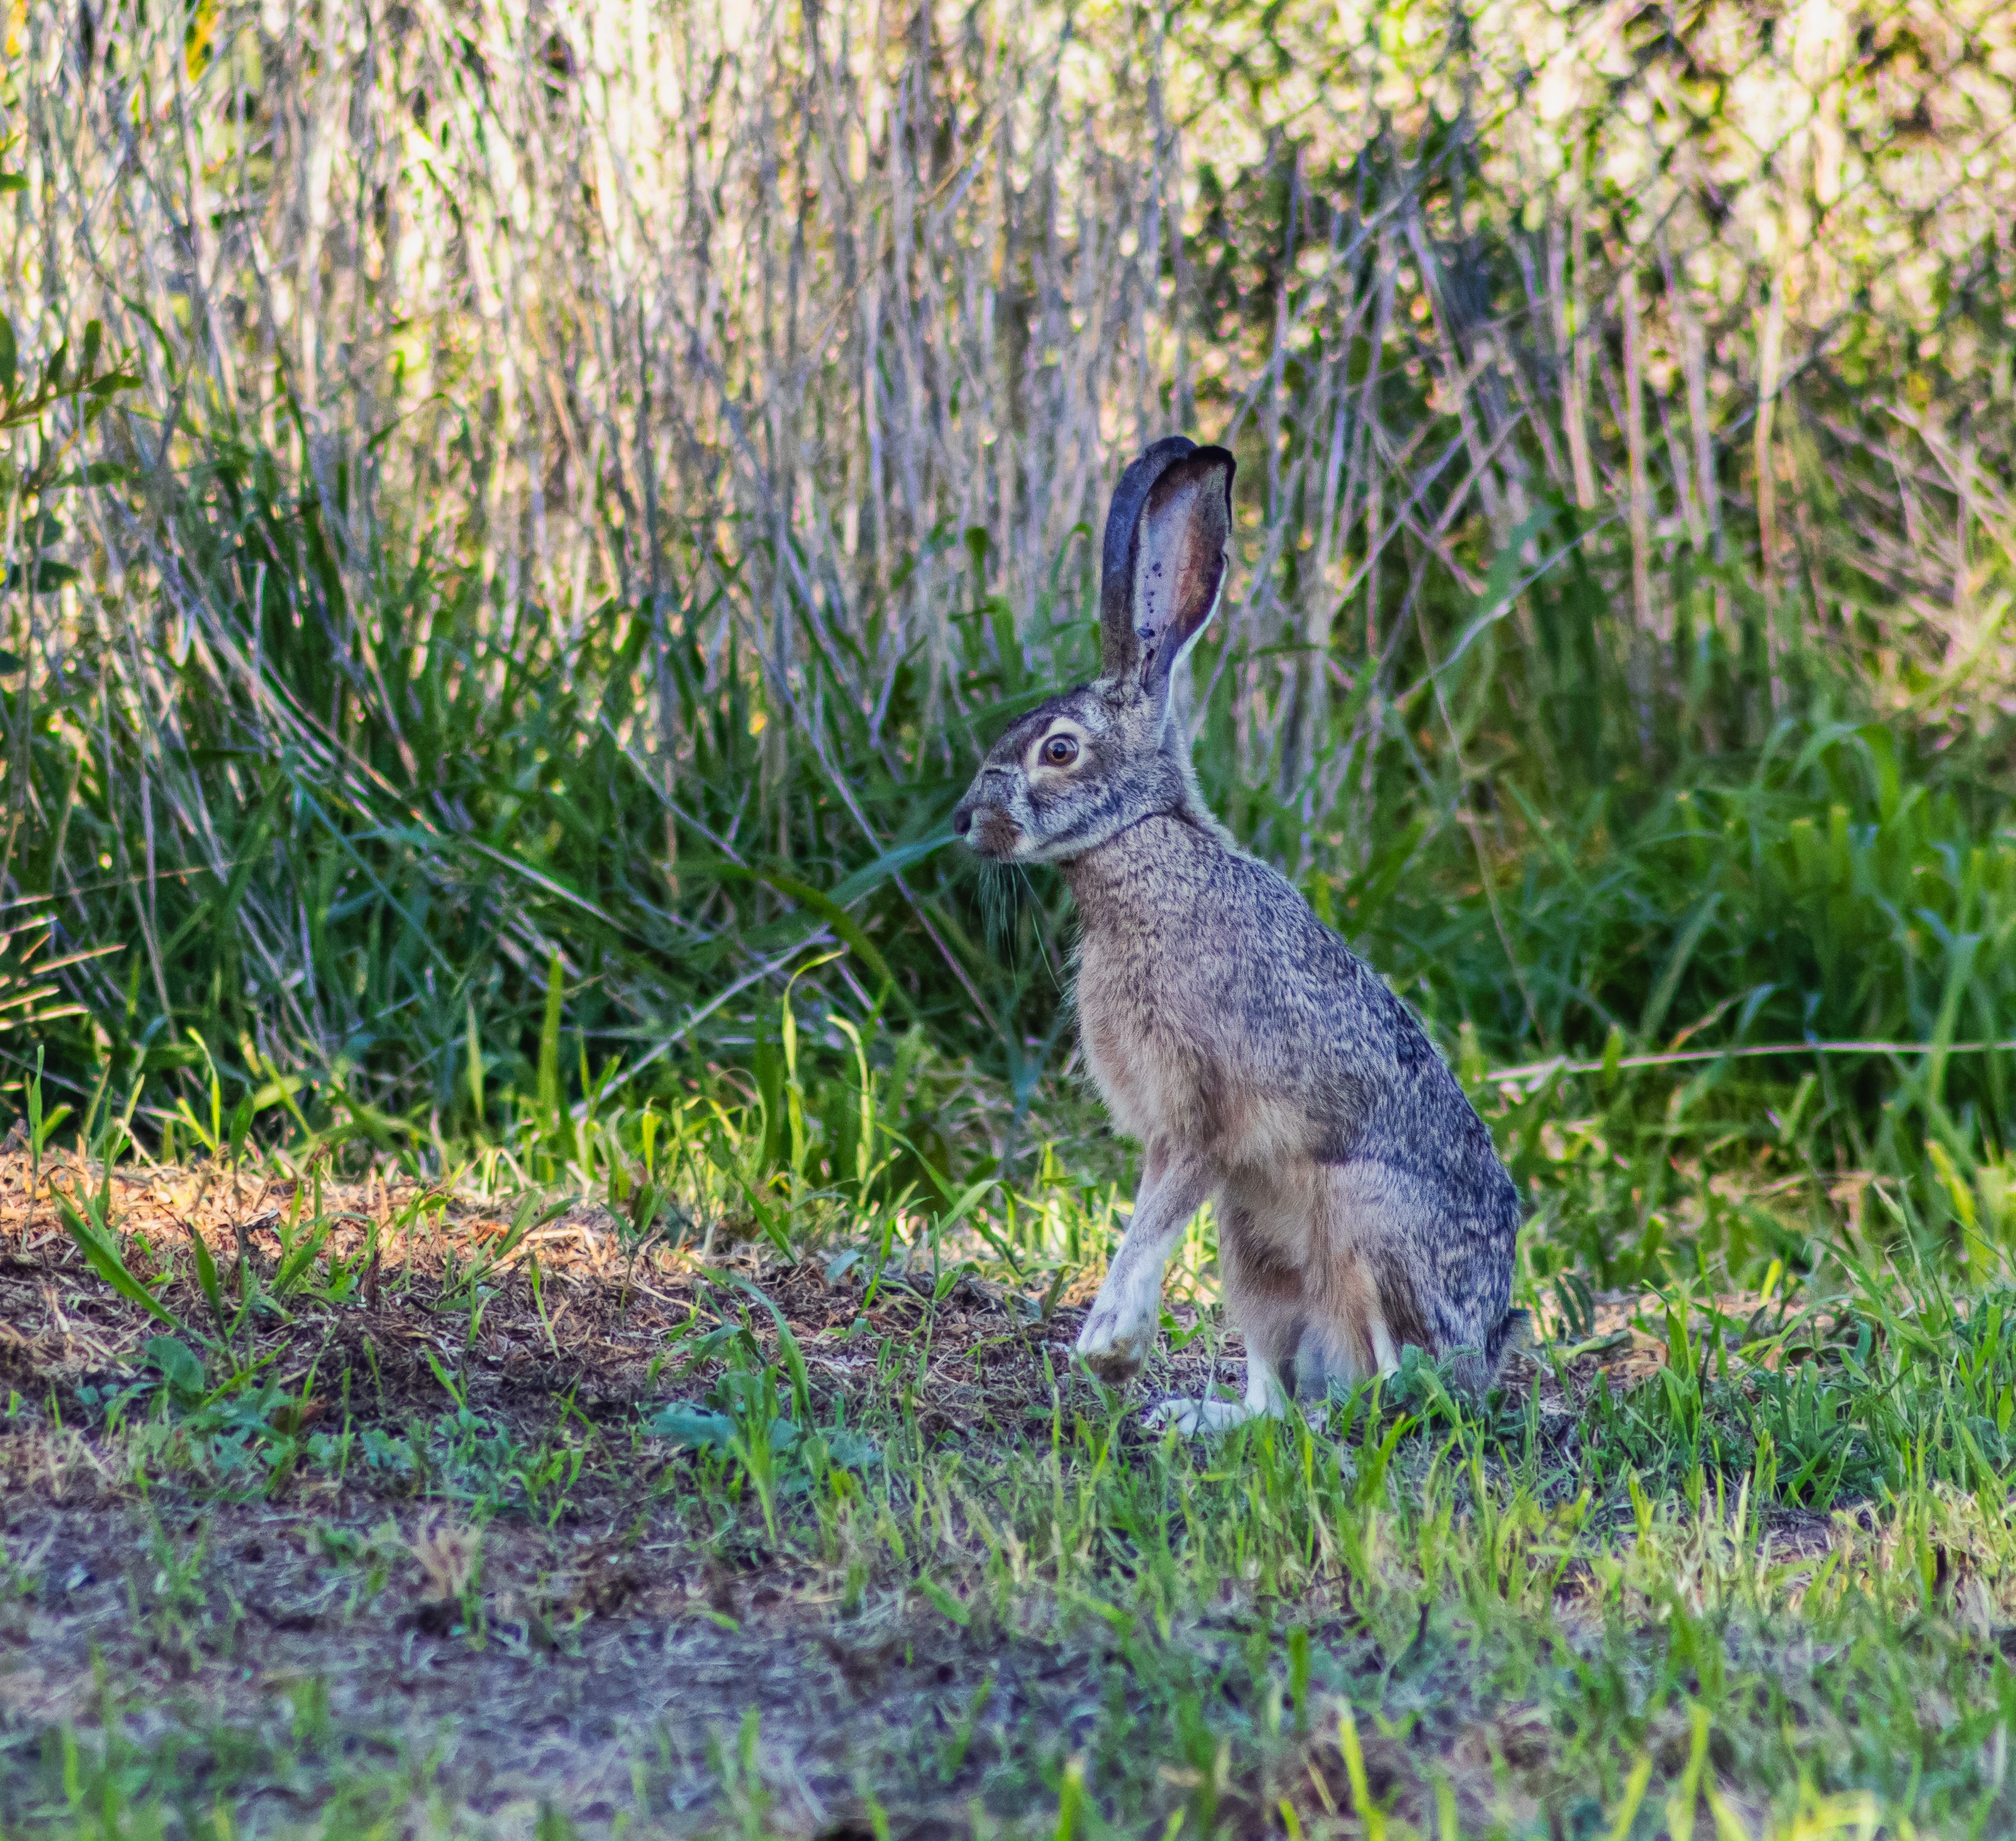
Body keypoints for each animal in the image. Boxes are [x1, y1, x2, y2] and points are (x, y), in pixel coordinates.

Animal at [951, 435, 1526, 1432]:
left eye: (1057, 750)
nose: (965, 821)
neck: (1140, 849)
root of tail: (1480, 1358)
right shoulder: (1172, 1140)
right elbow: (1142, 1218)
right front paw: (1113, 1356)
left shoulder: (1202, 1119)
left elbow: (1148, 1227)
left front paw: (1106, 1344)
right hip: (1252, 1240)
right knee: (1275, 1389)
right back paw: (1199, 1419)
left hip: (1362, 1221)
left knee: (1388, 1389)